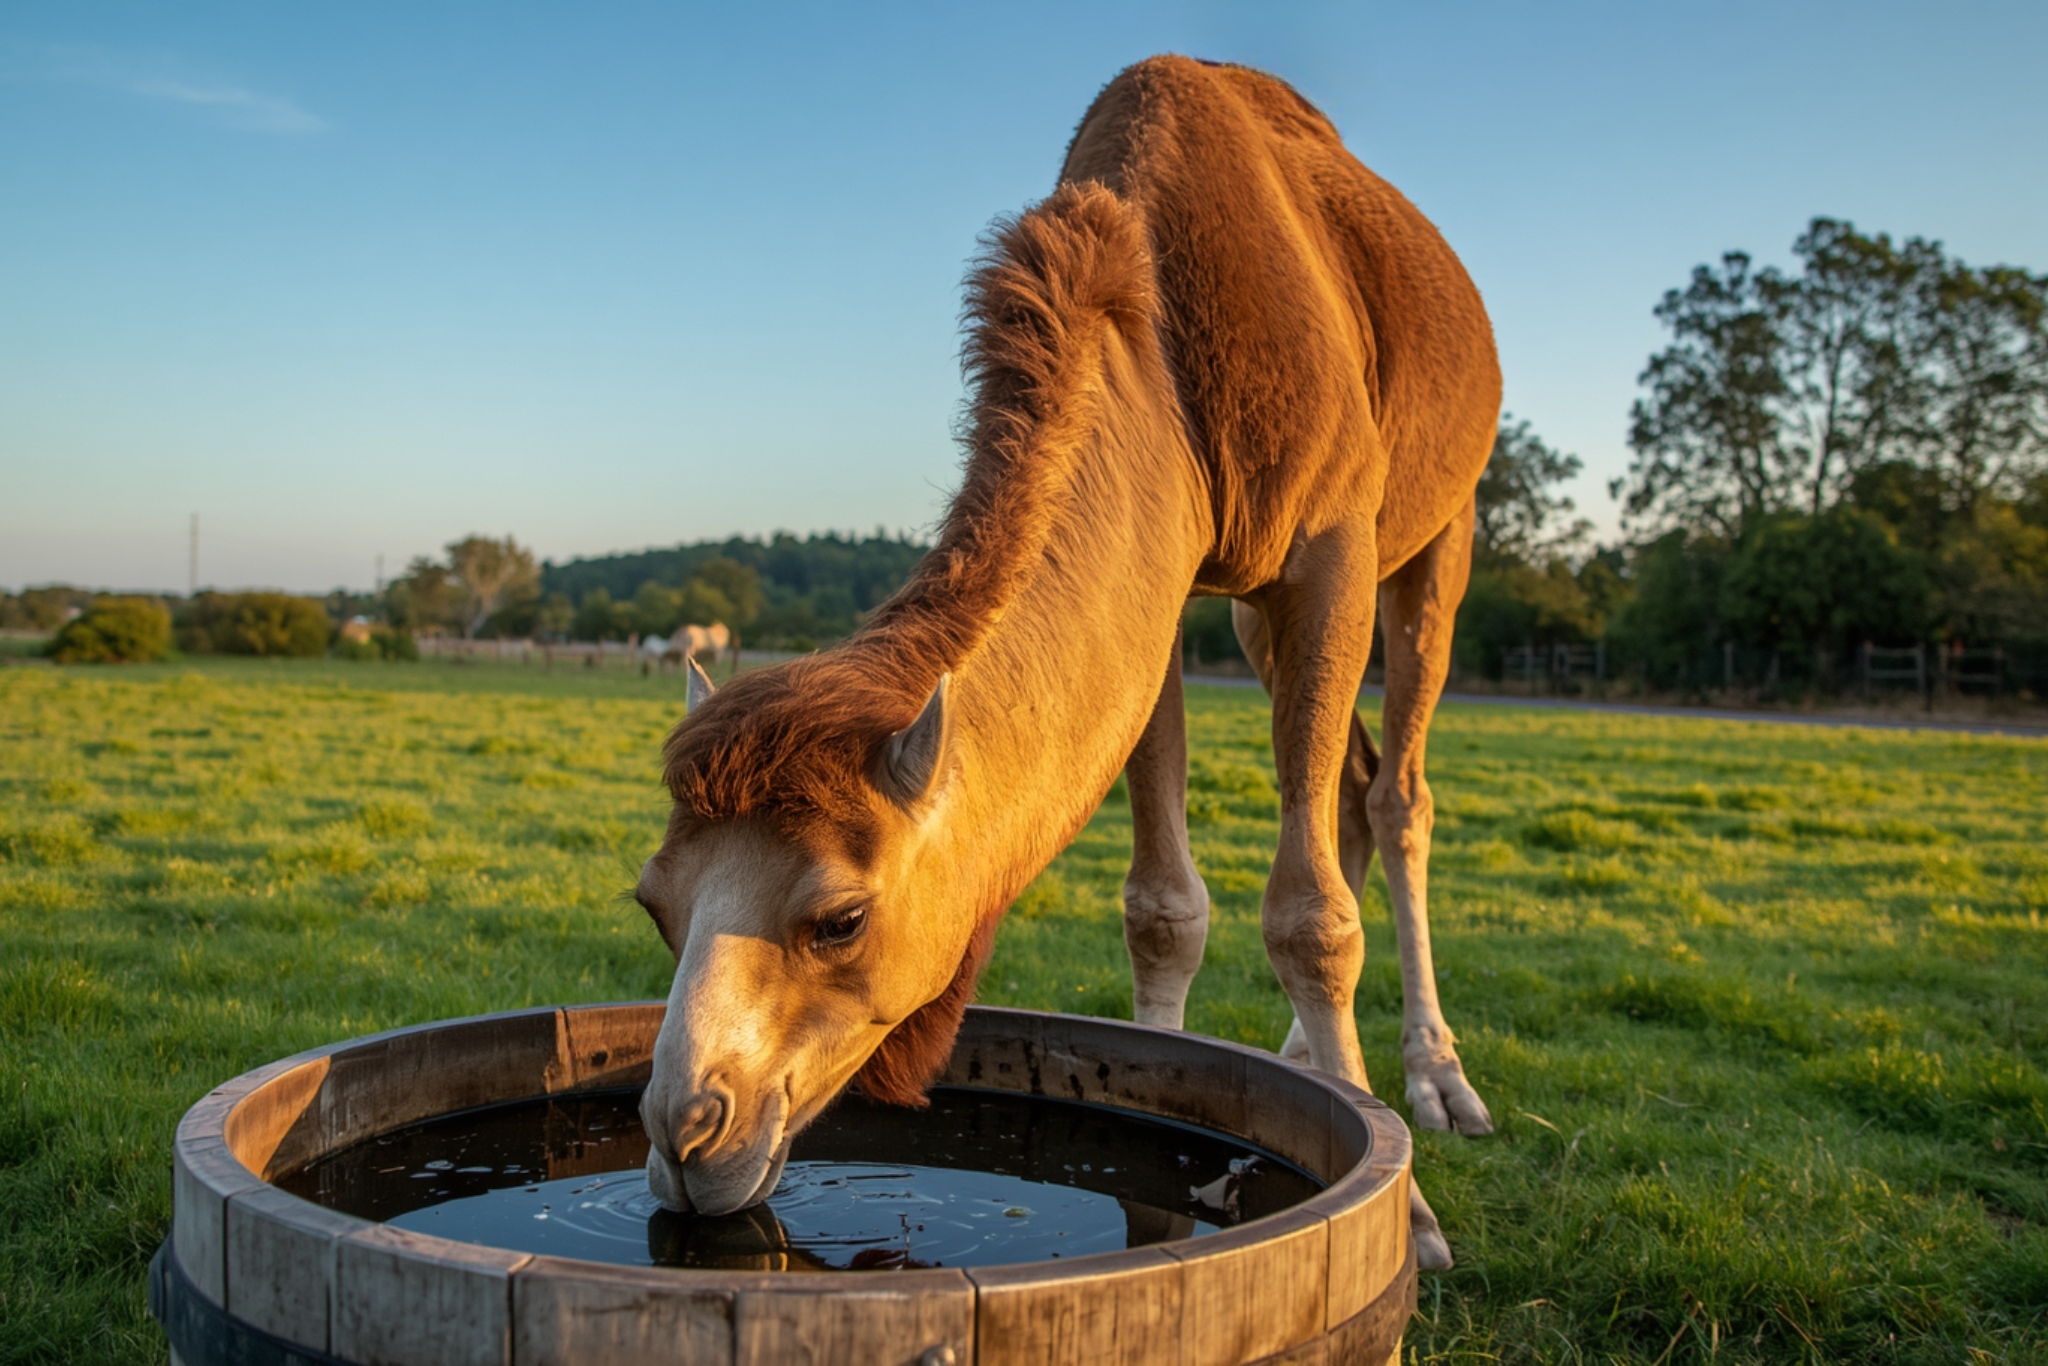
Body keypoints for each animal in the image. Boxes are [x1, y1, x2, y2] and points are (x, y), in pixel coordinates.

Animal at [635, 55, 1499, 1270]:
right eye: (653, 902)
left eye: (839, 919)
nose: (684, 1133)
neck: (1170, 363)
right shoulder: (1160, 591)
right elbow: (1161, 908)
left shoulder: (1332, 541)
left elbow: (1308, 918)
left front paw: (1410, 1218)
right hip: (1260, 614)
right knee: (1351, 782)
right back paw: (1314, 1058)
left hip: (1436, 529)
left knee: (1399, 790)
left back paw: (1434, 1086)